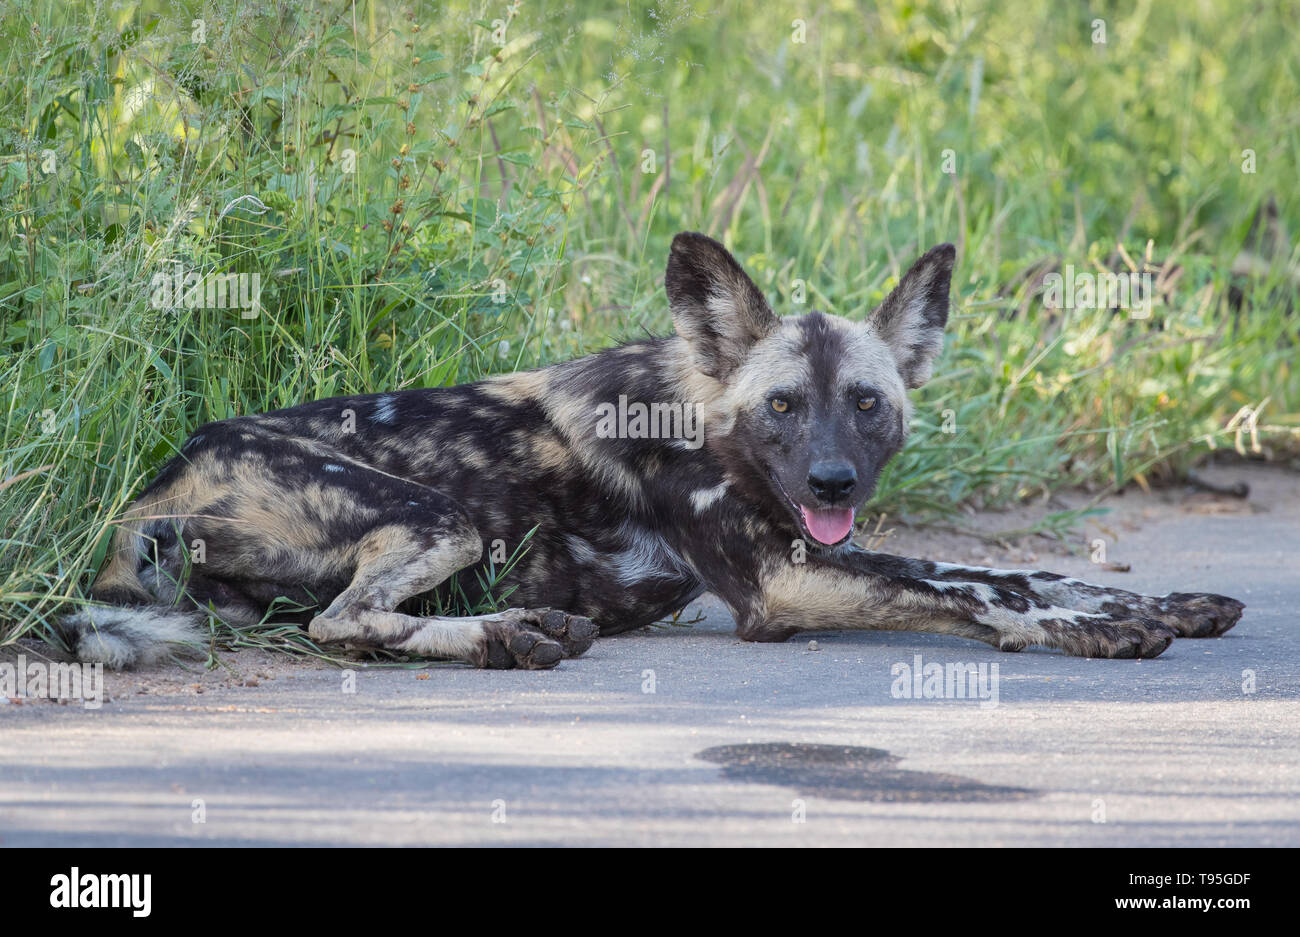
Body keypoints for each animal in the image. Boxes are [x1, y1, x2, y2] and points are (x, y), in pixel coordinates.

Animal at [58, 235, 1237, 670]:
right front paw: (1092, 631)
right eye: (781, 406)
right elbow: (967, 589)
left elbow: (1006, 570)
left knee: (339, 621)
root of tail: (150, 487)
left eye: (865, 404)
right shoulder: (782, 583)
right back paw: (505, 636)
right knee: (343, 625)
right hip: (446, 519)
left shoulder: (819, 546)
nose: (832, 480)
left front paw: (1153, 605)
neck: (699, 413)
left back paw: (521, 632)